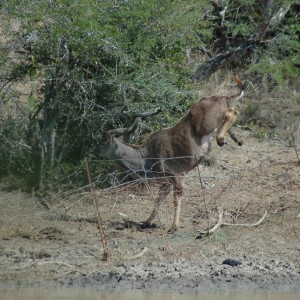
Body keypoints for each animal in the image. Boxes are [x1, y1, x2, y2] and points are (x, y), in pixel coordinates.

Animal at [93, 76, 244, 233]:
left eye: (101, 141)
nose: (93, 151)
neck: (146, 155)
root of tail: (220, 97)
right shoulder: (165, 183)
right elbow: (158, 201)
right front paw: (147, 222)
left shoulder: (176, 177)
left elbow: (176, 199)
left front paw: (174, 226)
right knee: (233, 111)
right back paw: (235, 139)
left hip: (206, 125)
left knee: (232, 112)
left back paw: (221, 138)